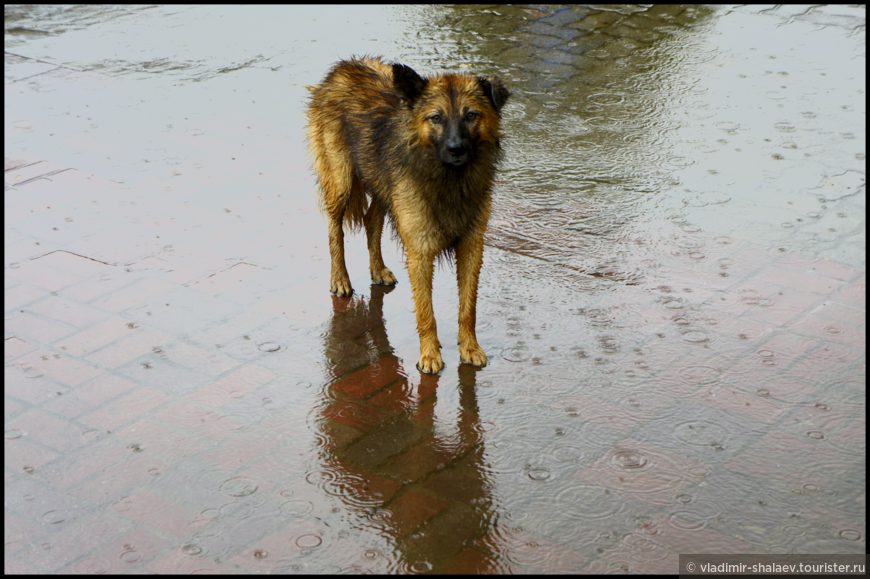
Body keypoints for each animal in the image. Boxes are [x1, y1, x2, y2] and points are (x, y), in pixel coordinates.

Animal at [306, 55, 510, 376]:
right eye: (436, 117)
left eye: (471, 115)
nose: (456, 149)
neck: (449, 180)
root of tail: (344, 66)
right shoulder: (420, 249)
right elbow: (426, 312)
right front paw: (430, 355)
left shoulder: (472, 245)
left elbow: (468, 307)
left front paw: (469, 348)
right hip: (341, 181)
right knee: (334, 229)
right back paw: (340, 279)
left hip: (383, 185)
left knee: (371, 220)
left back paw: (377, 269)